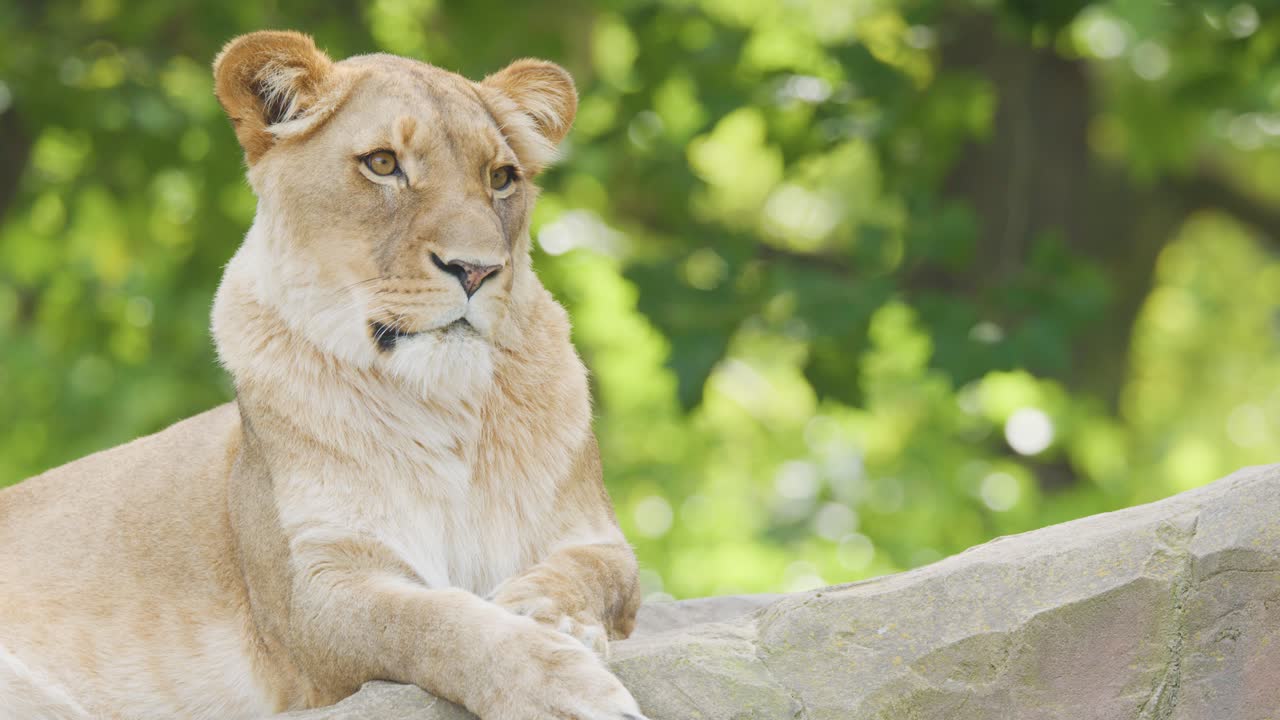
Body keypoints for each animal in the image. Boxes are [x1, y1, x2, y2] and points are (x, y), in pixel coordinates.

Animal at [0, 31, 646, 720]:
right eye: (384, 164)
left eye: (501, 178)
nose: (476, 270)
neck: (443, 405)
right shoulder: (313, 598)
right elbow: (437, 624)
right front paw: (566, 686)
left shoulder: (595, 533)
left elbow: (599, 575)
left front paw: (544, 611)